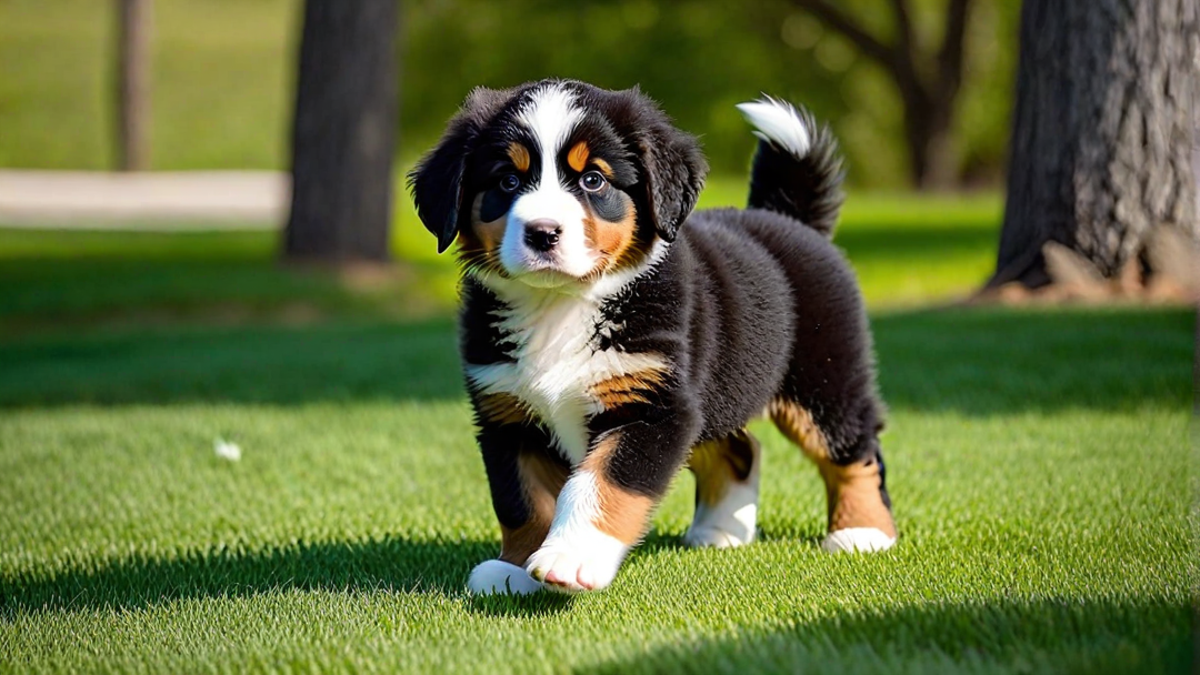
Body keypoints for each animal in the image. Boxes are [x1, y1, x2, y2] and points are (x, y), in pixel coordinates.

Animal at [408, 79, 897, 593]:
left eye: (593, 180)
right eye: (507, 181)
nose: (543, 233)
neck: (560, 306)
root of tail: (790, 221)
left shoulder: (650, 407)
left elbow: (599, 484)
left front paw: (571, 557)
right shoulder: (509, 415)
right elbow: (522, 501)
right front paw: (515, 569)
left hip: (824, 380)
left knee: (856, 452)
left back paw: (862, 533)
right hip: (718, 390)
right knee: (741, 448)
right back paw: (720, 531)